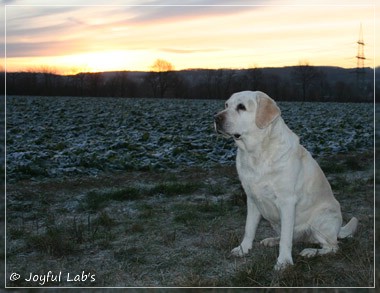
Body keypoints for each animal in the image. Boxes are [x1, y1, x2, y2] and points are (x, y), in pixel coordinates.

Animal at [215, 89, 358, 270]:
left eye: (241, 107)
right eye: (226, 105)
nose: (216, 118)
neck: (257, 153)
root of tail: (339, 229)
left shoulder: (287, 201)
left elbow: (286, 239)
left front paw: (283, 262)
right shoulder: (252, 198)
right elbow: (249, 228)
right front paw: (243, 248)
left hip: (321, 220)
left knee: (332, 246)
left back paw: (311, 251)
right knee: (293, 237)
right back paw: (271, 240)